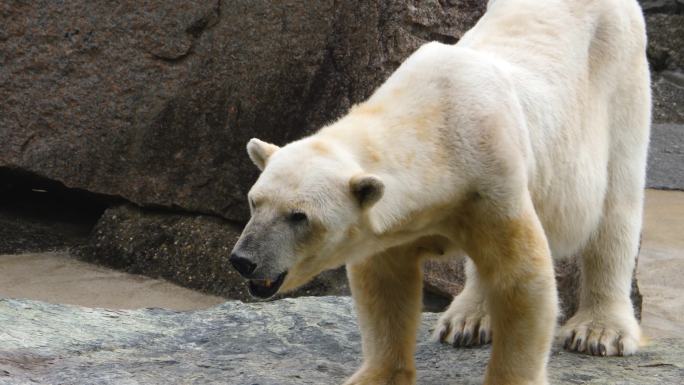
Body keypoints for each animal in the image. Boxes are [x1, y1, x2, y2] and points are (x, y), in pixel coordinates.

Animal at [231, 0, 652, 380]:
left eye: (299, 216)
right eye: (254, 202)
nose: (243, 260)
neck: (436, 125)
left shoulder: (493, 176)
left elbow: (523, 282)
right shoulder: (401, 220)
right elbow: (384, 287)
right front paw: (378, 373)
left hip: (621, 82)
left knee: (617, 205)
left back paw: (599, 330)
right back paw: (468, 320)